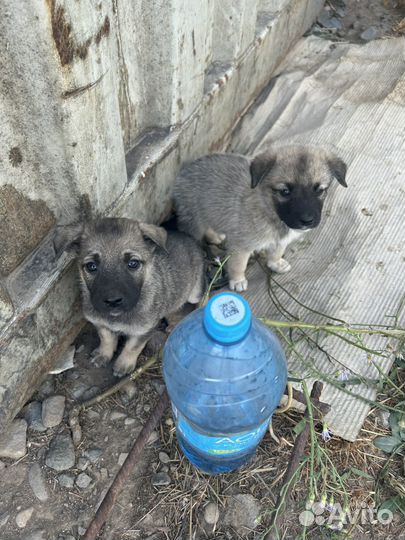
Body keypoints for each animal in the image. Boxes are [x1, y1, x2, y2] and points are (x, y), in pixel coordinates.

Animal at [54, 217, 205, 378]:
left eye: (133, 263)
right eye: (91, 266)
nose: (113, 301)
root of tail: (187, 237)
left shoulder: (144, 330)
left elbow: (132, 347)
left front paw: (123, 365)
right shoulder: (100, 323)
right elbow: (106, 339)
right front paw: (103, 355)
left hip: (195, 292)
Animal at [172, 144, 346, 292]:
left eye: (320, 190)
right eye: (284, 191)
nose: (307, 221)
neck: (270, 210)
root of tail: (185, 170)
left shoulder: (280, 241)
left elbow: (276, 253)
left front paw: (276, 264)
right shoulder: (241, 246)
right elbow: (238, 265)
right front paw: (237, 280)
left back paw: (217, 236)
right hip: (194, 219)